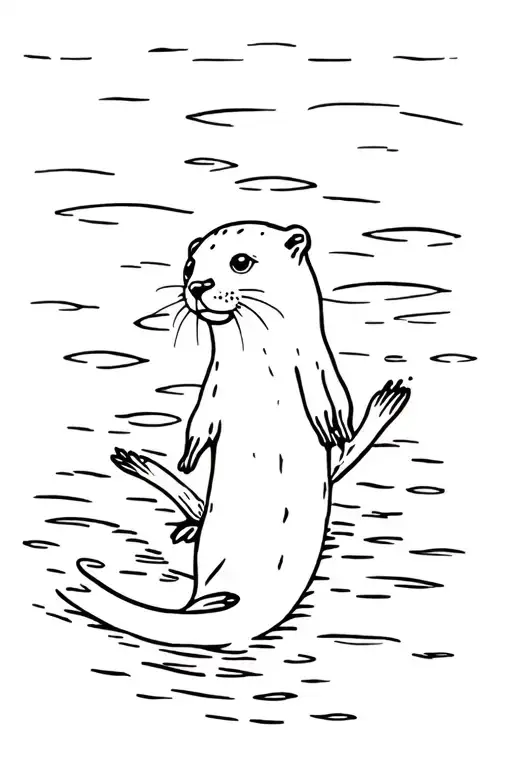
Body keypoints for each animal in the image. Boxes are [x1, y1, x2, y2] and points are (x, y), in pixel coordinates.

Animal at [58, 221, 410, 648]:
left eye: (240, 261)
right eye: (189, 265)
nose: (197, 285)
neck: (259, 366)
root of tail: (241, 601)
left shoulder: (315, 362)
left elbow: (335, 399)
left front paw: (336, 424)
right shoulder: (215, 382)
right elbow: (200, 421)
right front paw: (187, 458)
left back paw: (386, 402)